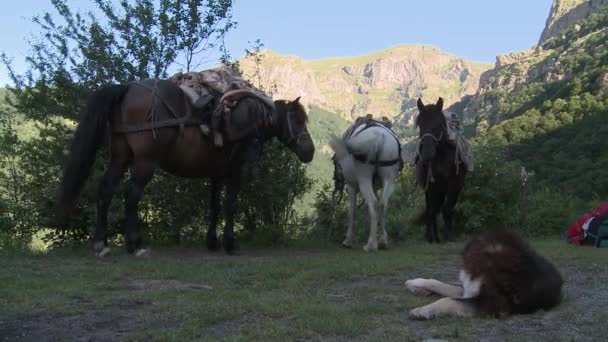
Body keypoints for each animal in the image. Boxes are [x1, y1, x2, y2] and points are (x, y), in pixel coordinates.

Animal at [55, 78, 316, 254]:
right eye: (298, 120)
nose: (310, 151)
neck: (254, 116)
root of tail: (127, 88)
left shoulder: (216, 173)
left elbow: (214, 206)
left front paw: (212, 242)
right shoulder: (236, 171)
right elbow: (230, 205)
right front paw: (229, 242)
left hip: (120, 157)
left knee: (106, 190)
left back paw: (101, 243)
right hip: (144, 162)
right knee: (131, 195)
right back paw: (135, 244)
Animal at [330, 120, 402, 251]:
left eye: (334, 162)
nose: (336, 182)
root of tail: (380, 137)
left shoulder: (351, 186)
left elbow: (352, 212)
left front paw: (348, 240)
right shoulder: (375, 187)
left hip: (364, 179)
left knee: (373, 203)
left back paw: (371, 244)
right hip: (389, 179)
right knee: (382, 204)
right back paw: (382, 241)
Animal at [404, 228, 564, 320]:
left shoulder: (493, 304)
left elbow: (448, 300)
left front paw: (423, 310)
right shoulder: (468, 289)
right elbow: (438, 283)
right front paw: (414, 284)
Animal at [416, 97, 468, 243]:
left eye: (439, 124)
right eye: (419, 124)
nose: (427, 154)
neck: (441, 158)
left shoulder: (455, 184)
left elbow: (447, 208)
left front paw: (449, 235)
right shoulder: (432, 186)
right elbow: (432, 210)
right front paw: (432, 237)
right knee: (431, 209)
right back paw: (433, 236)